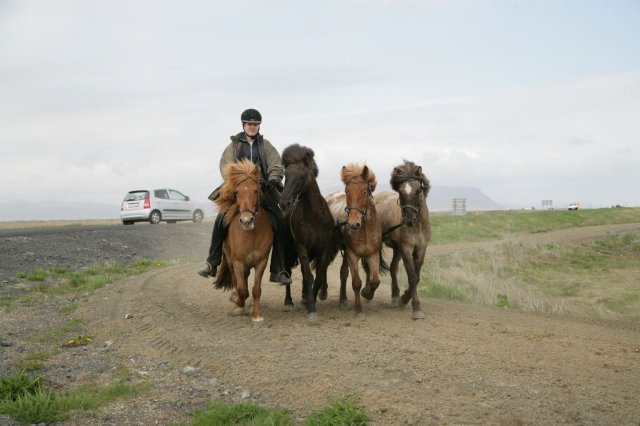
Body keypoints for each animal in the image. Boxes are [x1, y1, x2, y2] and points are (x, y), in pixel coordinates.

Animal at [214, 159, 274, 322]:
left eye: (256, 191)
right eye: (237, 192)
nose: (246, 221)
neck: (251, 235)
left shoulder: (261, 262)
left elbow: (256, 289)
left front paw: (256, 315)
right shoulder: (238, 262)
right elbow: (241, 289)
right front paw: (238, 305)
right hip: (230, 260)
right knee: (237, 282)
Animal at [280, 145, 340, 324]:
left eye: (302, 176)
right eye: (286, 175)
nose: (284, 203)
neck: (314, 217)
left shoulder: (323, 249)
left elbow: (318, 276)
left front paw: (309, 300)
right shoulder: (301, 248)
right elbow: (308, 276)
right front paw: (311, 308)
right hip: (288, 251)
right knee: (289, 273)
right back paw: (289, 302)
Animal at [328, 163, 382, 320]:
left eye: (364, 192)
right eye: (347, 192)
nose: (353, 224)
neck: (364, 230)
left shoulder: (373, 254)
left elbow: (375, 280)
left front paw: (367, 293)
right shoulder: (352, 255)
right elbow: (356, 282)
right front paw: (358, 310)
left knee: (343, 273)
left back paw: (343, 301)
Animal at [372, 161, 432, 320]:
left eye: (418, 190)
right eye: (400, 191)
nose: (409, 220)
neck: (418, 226)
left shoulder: (421, 250)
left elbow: (417, 277)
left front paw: (403, 298)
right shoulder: (406, 249)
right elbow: (412, 277)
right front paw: (415, 307)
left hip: (397, 249)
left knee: (393, 268)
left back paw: (395, 297)